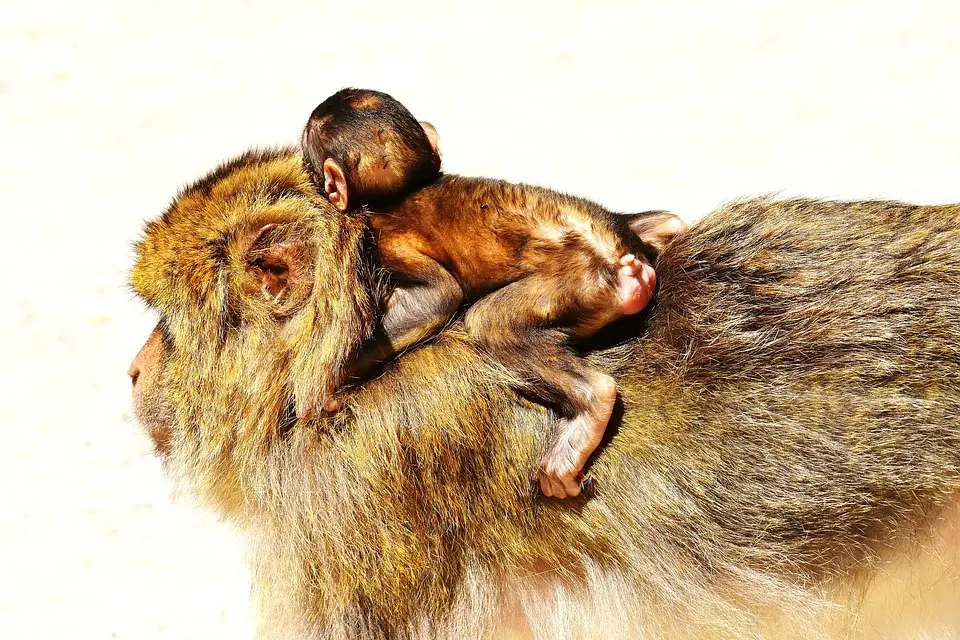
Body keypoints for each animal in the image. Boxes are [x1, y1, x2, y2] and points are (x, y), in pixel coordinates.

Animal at [302, 87, 684, 498]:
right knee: (668, 221)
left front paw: (331, 381)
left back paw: (590, 407)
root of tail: (627, 265)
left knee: (489, 321)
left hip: (580, 283)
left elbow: (439, 296)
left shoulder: (384, 236)